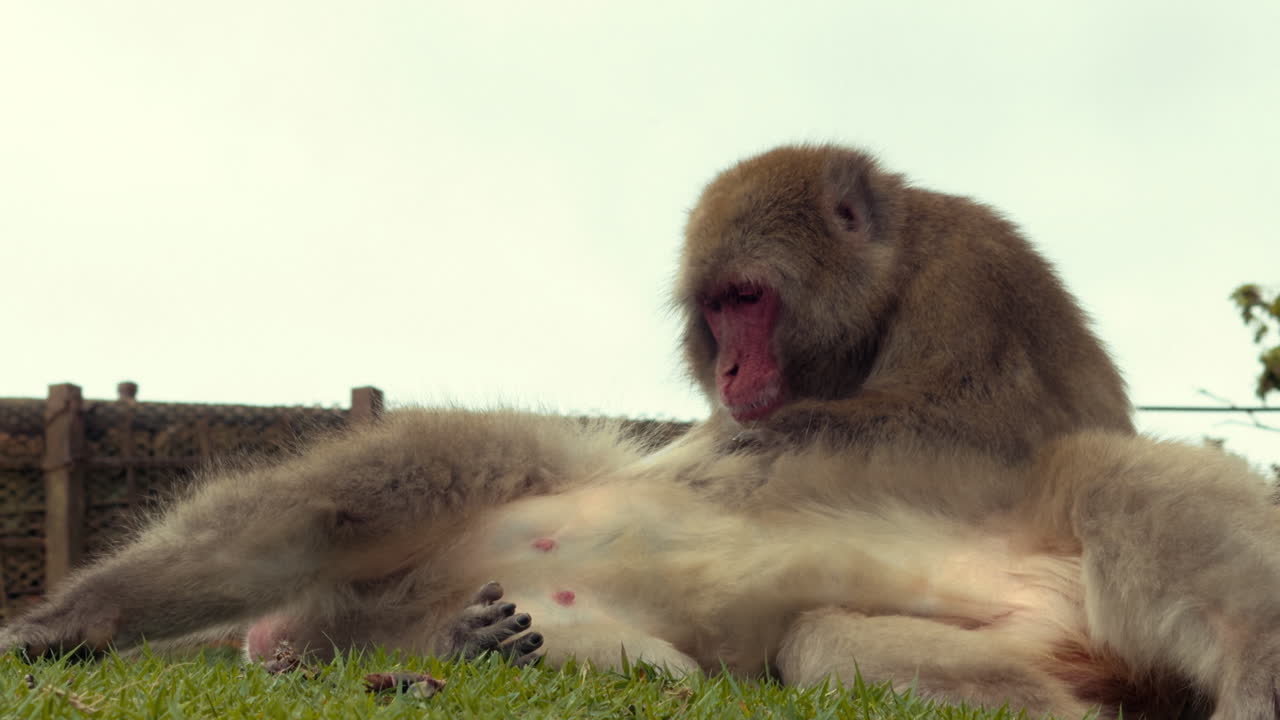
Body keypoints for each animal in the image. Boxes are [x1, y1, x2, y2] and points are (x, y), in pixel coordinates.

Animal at [674, 144, 1133, 462]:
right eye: (716, 306)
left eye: (747, 297)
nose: (729, 370)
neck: (898, 274)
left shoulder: (965, 283)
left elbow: (991, 434)